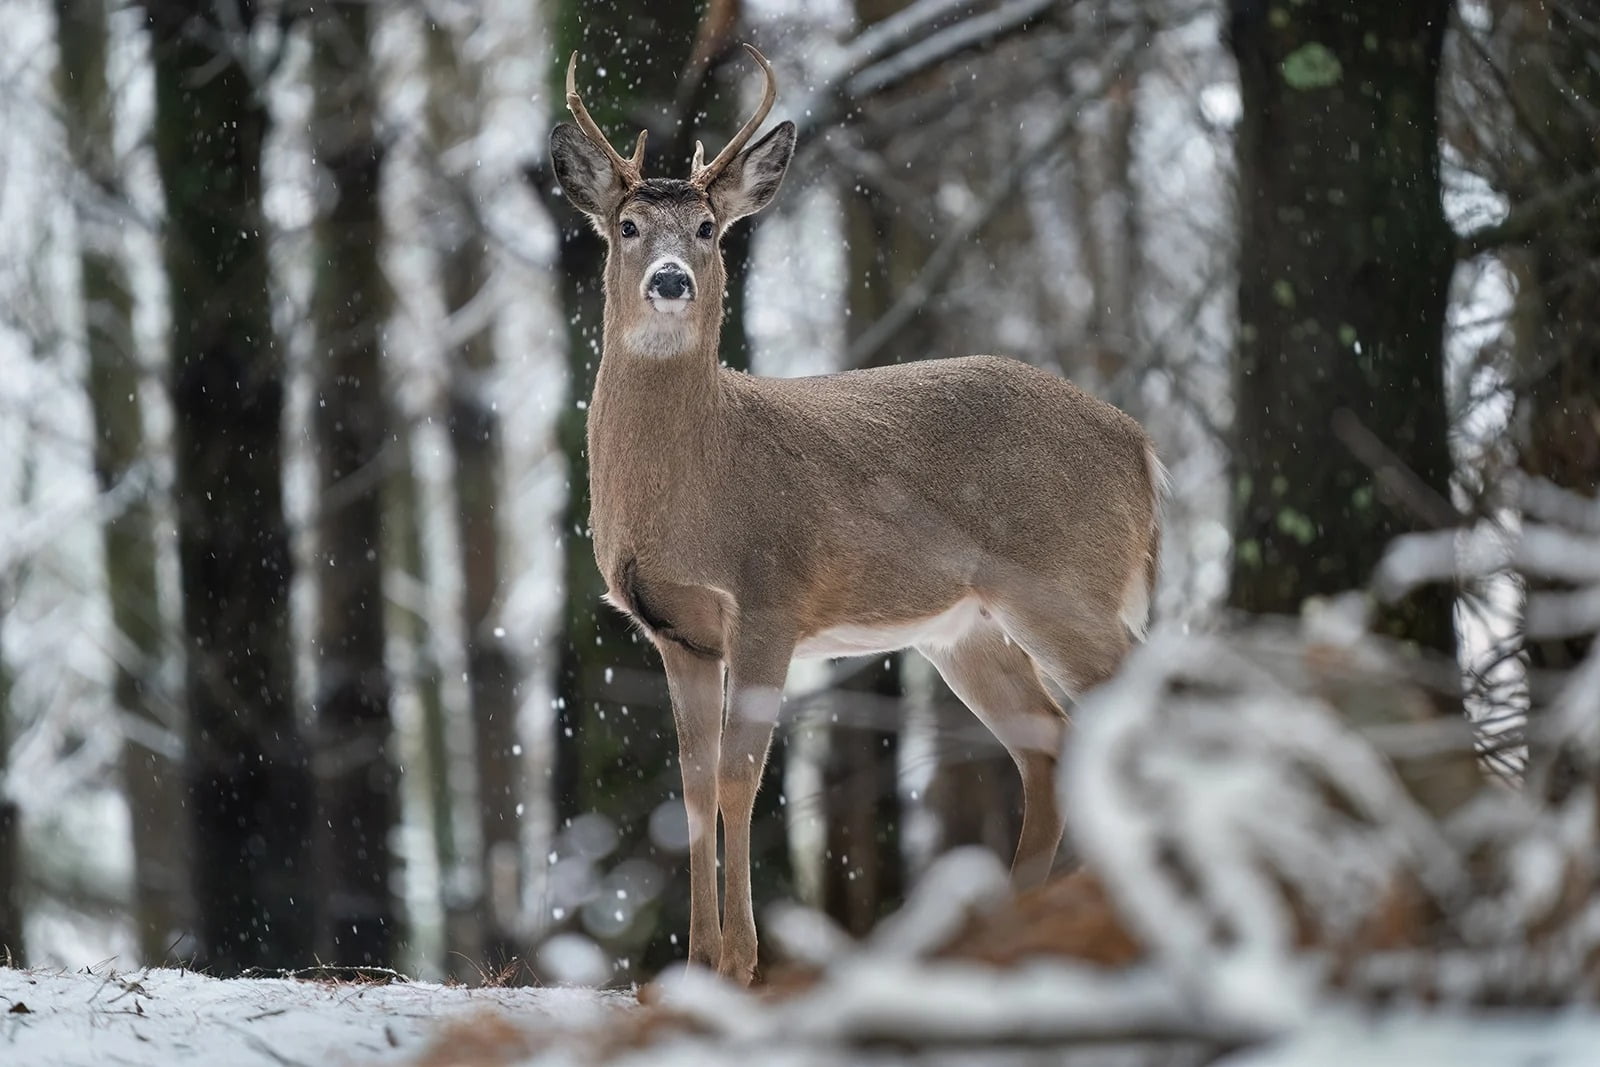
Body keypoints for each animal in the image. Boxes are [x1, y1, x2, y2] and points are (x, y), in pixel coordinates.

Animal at [550, 47, 1164, 985]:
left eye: (708, 228)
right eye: (625, 225)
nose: (670, 281)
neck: (697, 479)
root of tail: (1142, 450)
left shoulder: (769, 596)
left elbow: (741, 776)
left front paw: (742, 962)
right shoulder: (676, 631)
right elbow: (693, 781)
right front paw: (693, 963)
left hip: (1066, 583)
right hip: (968, 629)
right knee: (1050, 745)